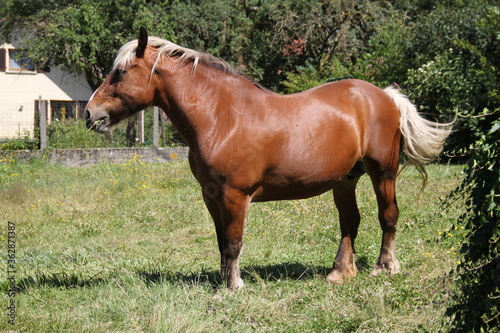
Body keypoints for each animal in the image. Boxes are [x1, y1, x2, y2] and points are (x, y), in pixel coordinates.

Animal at [86, 27, 454, 288]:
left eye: (120, 73)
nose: (91, 114)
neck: (222, 116)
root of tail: (386, 96)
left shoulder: (235, 196)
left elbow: (233, 242)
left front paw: (233, 287)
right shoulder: (211, 196)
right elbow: (221, 241)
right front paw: (223, 281)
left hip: (383, 174)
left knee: (388, 216)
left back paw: (386, 267)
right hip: (345, 180)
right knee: (350, 221)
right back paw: (339, 273)